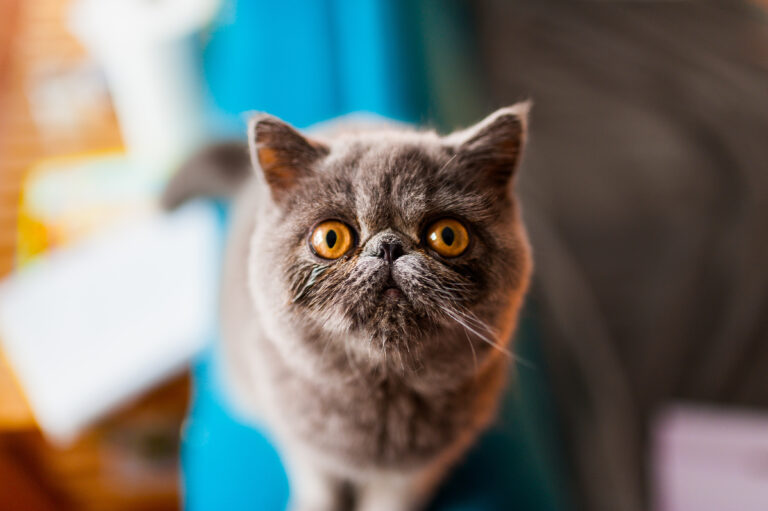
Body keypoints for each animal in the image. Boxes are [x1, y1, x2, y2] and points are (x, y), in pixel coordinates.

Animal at [162, 105, 536, 511]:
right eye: (330, 238)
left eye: (449, 236)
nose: (388, 246)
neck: (385, 393)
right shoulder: (304, 447)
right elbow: (320, 485)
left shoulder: (419, 471)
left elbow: (389, 501)